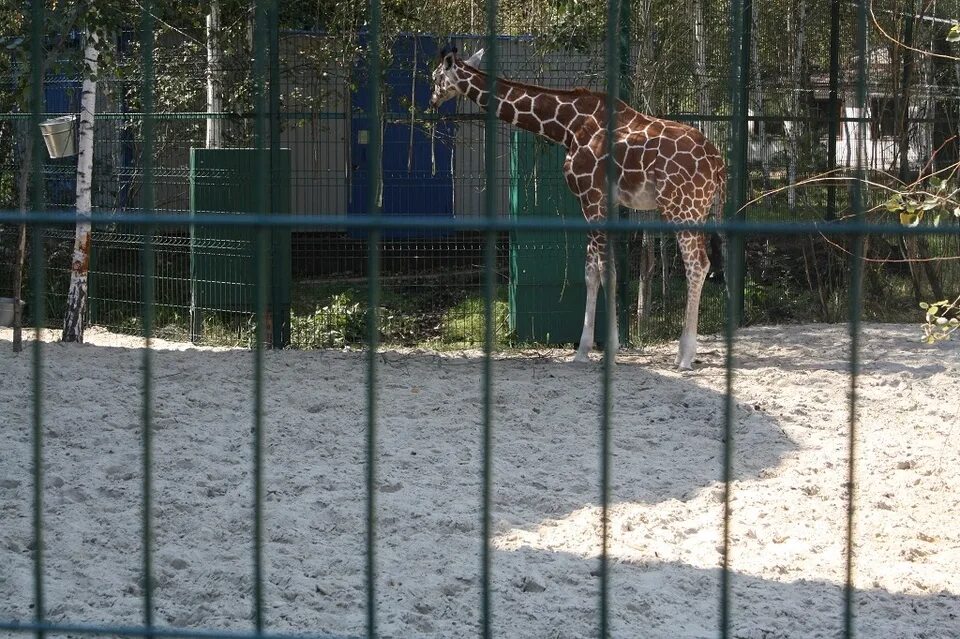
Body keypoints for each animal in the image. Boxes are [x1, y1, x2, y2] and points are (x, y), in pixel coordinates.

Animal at [430, 45, 728, 370]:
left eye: (435, 76)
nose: (432, 100)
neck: (568, 126)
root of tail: (717, 163)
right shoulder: (600, 202)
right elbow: (592, 272)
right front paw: (584, 350)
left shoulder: (591, 196)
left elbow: (605, 270)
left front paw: (609, 347)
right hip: (699, 209)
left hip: (681, 207)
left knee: (697, 264)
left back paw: (685, 356)